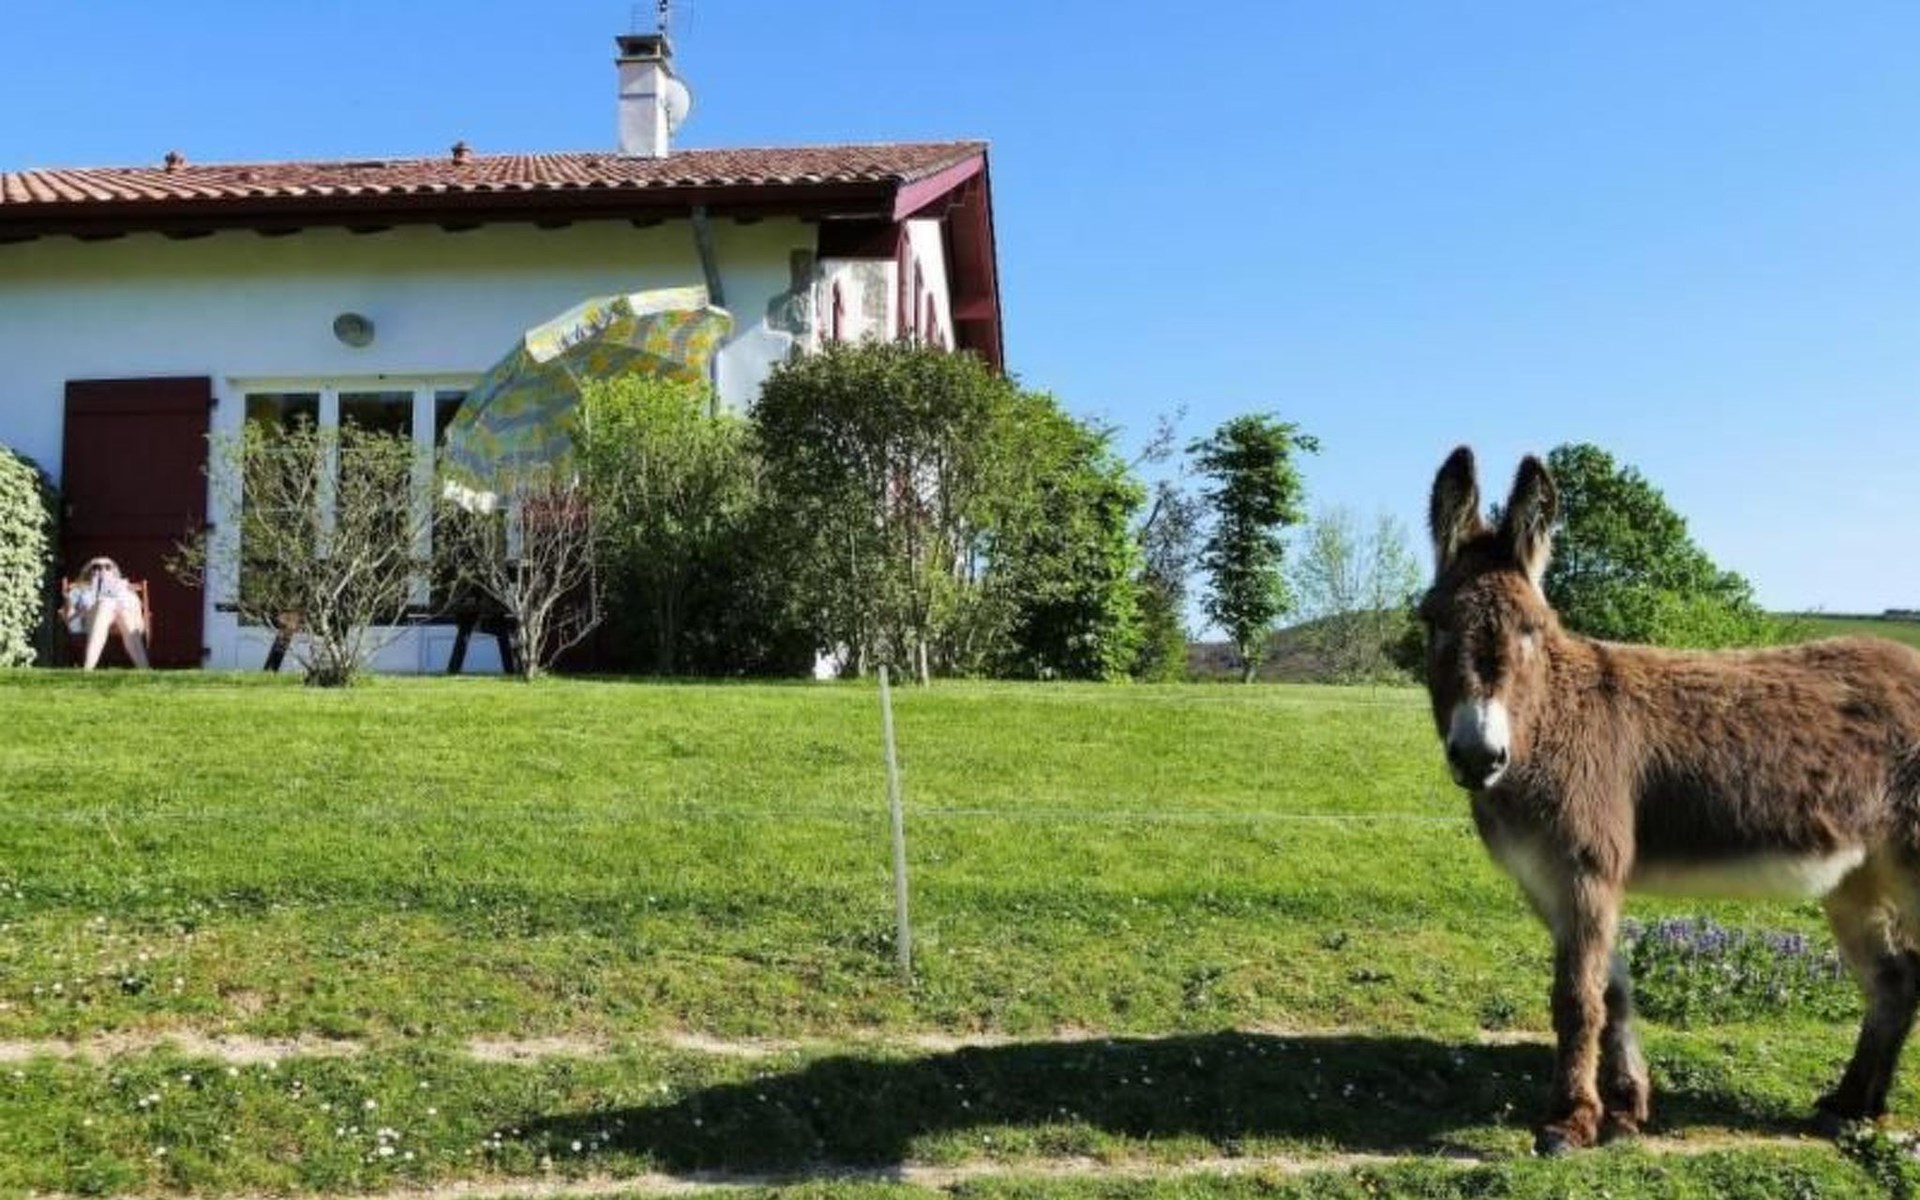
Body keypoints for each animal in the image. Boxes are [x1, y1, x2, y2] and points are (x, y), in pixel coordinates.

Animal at [1421, 445, 1920, 1154]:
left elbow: (1577, 998)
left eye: (1532, 630)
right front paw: (1626, 1108)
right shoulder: (1549, 881)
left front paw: (1568, 1121)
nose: (1478, 756)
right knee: (1893, 980)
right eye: (1432, 623)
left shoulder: (1585, 869)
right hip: (1855, 876)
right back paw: (1852, 1105)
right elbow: (1613, 992)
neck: (1550, 723)